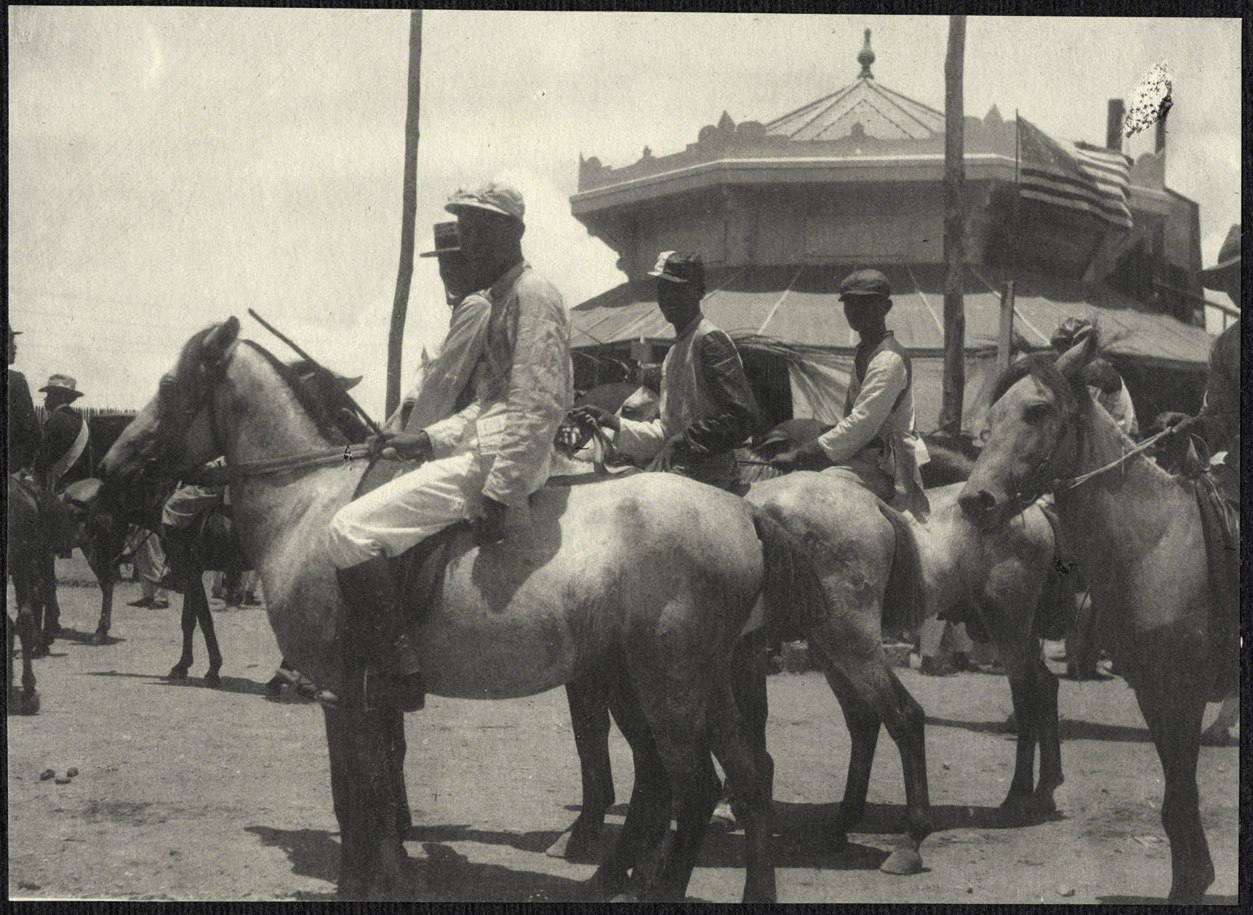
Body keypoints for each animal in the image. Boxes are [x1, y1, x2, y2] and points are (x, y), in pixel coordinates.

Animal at [100, 317, 831, 902]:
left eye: (170, 384)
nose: (112, 466)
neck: (307, 500)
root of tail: (742, 511)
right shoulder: (364, 696)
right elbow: (370, 788)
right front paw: (385, 874)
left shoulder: (340, 689)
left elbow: (355, 792)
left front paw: (369, 882)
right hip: (701, 680)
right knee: (746, 778)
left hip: (668, 685)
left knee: (695, 787)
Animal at [957, 328, 1232, 897]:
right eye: (990, 419)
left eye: (1038, 410)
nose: (976, 500)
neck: (1157, 542)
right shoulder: (1154, 693)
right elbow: (1177, 795)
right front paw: (1192, 879)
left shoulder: (1183, 693)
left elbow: (1181, 792)